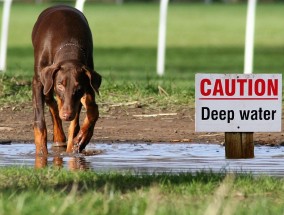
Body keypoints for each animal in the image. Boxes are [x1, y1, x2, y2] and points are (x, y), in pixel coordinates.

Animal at [31, 5, 101, 155]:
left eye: (78, 88)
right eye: (60, 85)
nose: (67, 115)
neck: (69, 45)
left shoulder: (87, 82)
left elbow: (88, 114)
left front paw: (77, 142)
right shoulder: (39, 82)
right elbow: (40, 122)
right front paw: (41, 153)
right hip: (46, 81)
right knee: (51, 101)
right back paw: (58, 137)